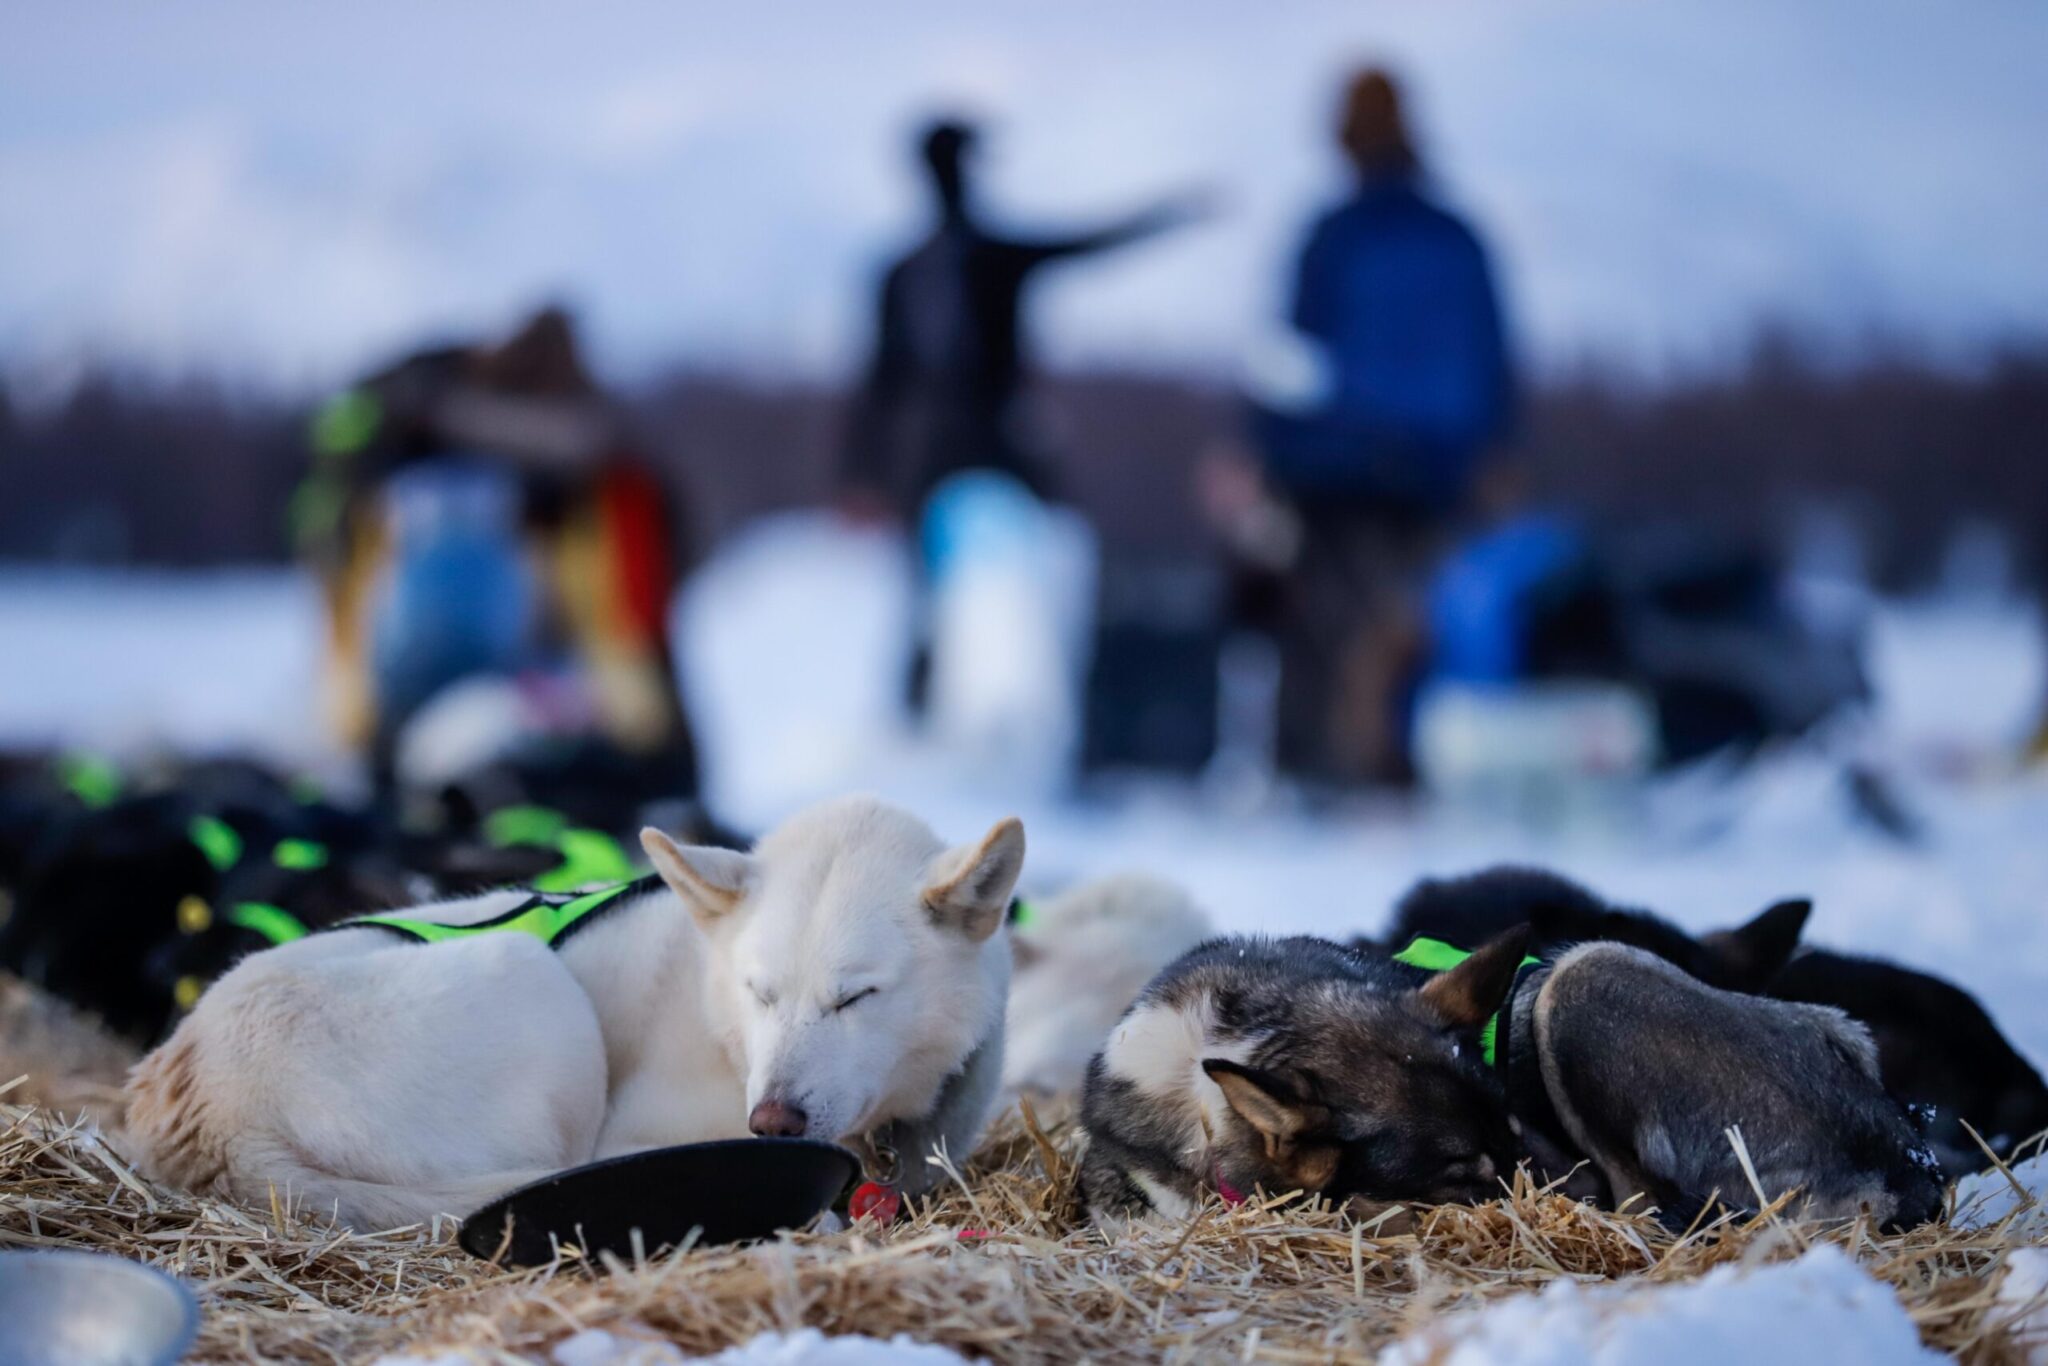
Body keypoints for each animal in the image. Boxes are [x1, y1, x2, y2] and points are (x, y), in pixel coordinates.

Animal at [125, 790, 1024, 1228]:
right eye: (759, 992)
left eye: (855, 997)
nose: (771, 1122)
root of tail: (208, 1114)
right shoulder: (639, 1134)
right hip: (533, 981)